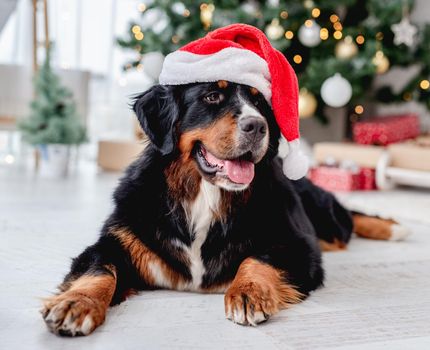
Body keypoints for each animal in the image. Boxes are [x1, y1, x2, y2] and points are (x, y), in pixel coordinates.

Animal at [40, 80, 404, 336]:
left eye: (259, 102)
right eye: (212, 97)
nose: (257, 126)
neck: (206, 194)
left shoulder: (299, 245)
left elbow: (257, 259)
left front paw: (247, 292)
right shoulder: (117, 240)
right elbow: (99, 270)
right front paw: (76, 304)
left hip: (325, 218)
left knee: (348, 218)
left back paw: (393, 227)